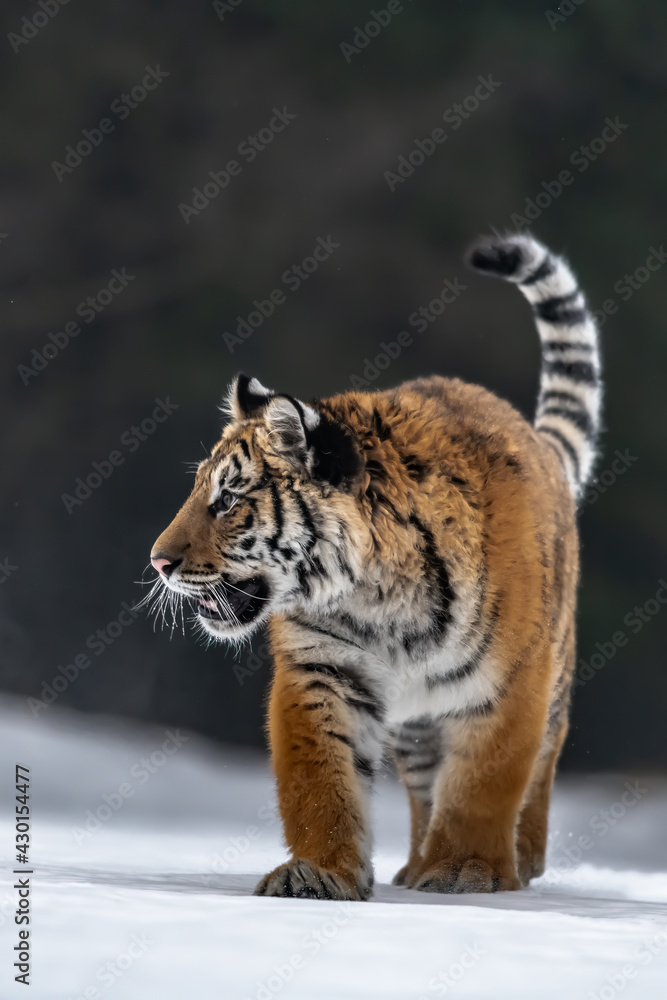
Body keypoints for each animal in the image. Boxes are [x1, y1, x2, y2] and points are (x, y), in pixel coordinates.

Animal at [148, 231, 601, 900]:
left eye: (227, 500)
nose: (158, 561)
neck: (376, 598)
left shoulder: (507, 685)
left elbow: (482, 783)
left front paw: (464, 871)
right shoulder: (321, 673)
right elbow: (322, 782)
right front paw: (321, 872)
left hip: (553, 678)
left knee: (537, 766)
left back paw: (517, 863)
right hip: (419, 724)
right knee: (424, 785)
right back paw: (413, 867)